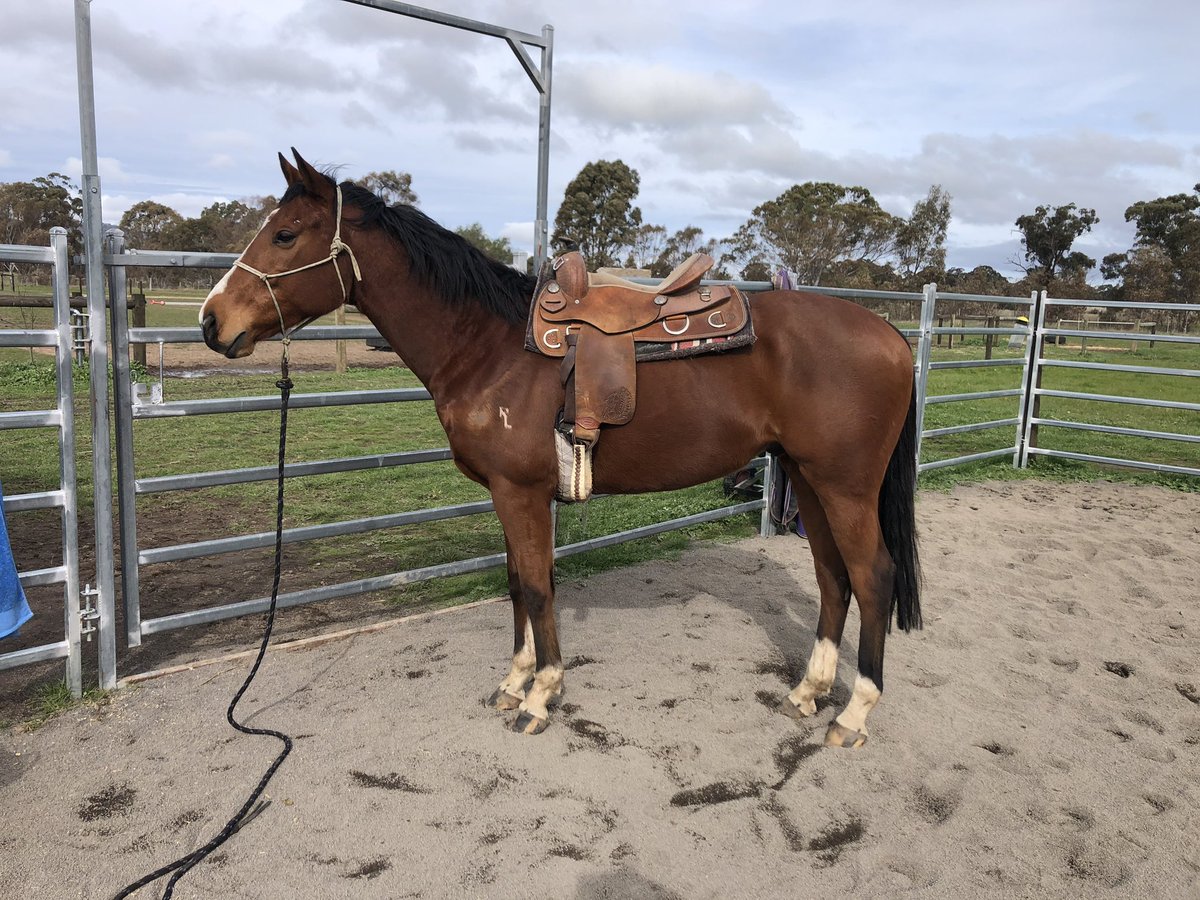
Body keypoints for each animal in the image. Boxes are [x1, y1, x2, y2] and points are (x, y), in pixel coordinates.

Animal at [199, 150, 921, 748]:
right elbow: (518, 582)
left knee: (872, 577)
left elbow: (538, 587)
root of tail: (890, 334)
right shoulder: (506, 494)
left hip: (845, 486)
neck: (487, 348)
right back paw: (809, 693)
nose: (212, 322)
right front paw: (515, 681)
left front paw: (540, 696)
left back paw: (854, 713)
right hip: (806, 477)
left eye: (285, 234)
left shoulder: (520, 493)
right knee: (832, 577)